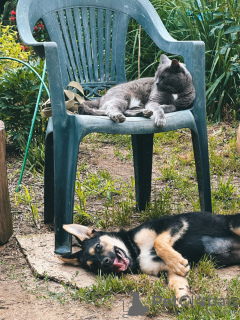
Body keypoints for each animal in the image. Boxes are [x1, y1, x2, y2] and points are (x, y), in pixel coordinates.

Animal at [59, 211, 240, 304]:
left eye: (98, 247)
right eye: (94, 267)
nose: (105, 263)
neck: (137, 253)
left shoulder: (173, 223)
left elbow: (158, 242)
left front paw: (178, 262)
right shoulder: (168, 271)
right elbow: (177, 284)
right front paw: (182, 297)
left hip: (235, 225)